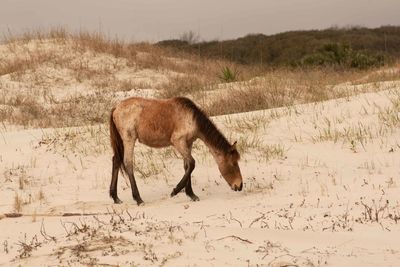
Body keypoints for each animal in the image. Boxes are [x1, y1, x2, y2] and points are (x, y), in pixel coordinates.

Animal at [108, 97, 242, 206]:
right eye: (234, 163)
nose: (240, 186)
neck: (191, 118)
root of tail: (116, 108)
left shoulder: (188, 143)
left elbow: (187, 166)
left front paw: (191, 194)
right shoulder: (178, 141)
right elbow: (192, 163)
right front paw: (175, 191)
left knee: (116, 160)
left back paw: (115, 197)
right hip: (129, 139)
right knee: (128, 163)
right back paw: (138, 199)